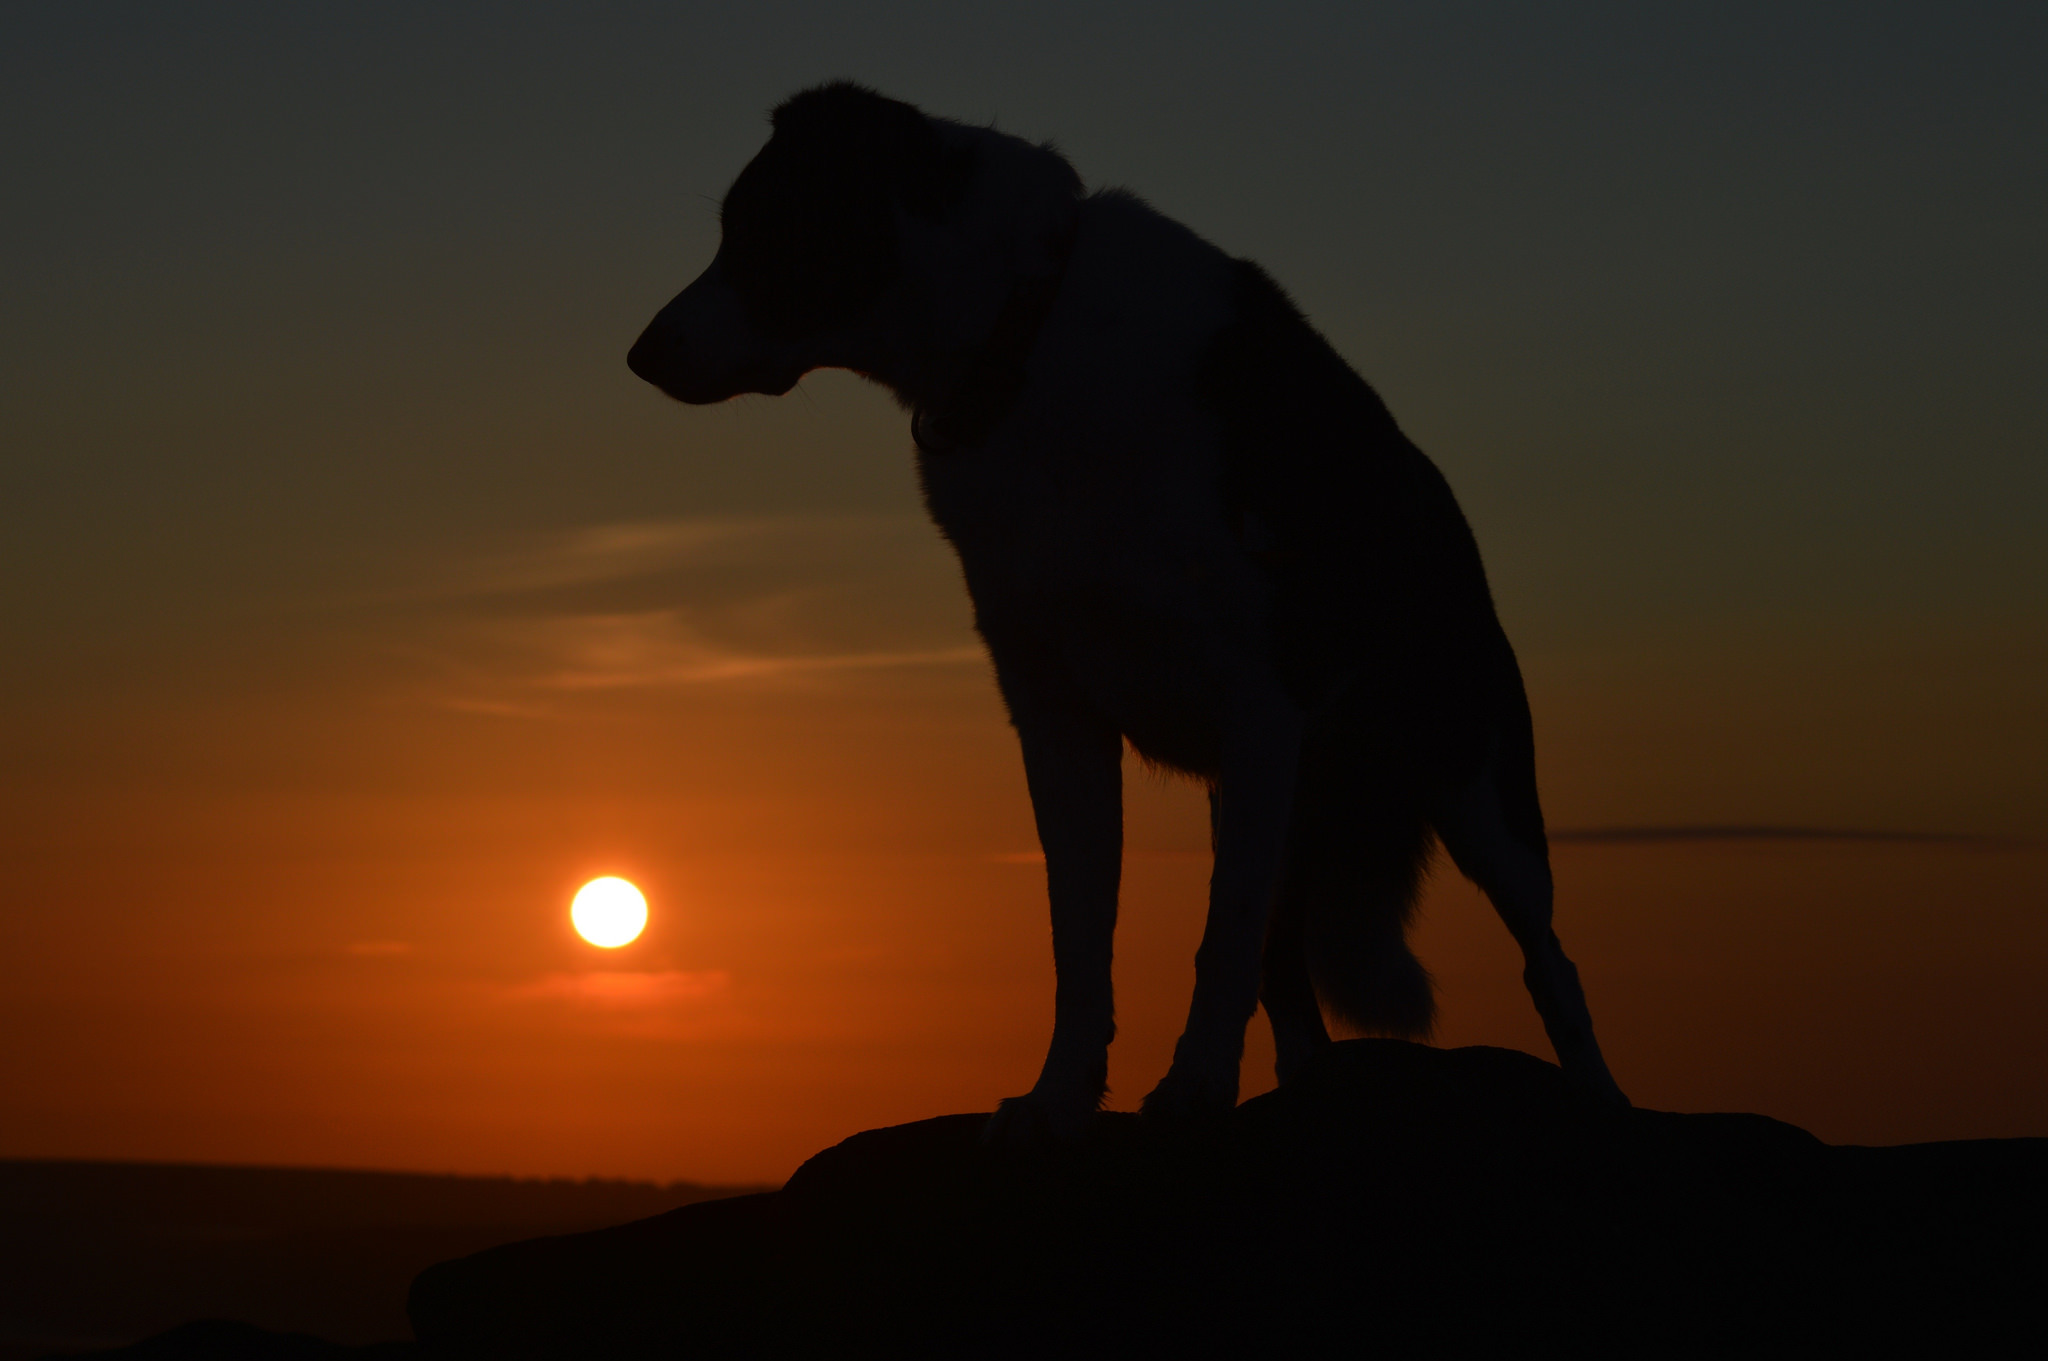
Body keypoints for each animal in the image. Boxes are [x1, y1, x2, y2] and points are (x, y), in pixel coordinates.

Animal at [630, 82, 1622, 1137]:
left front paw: (1191, 1087)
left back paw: (1603, 1098)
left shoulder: (1257, 699)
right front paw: (1061, 1093)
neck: (1023, 337)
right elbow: (1082, 936)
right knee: (1289, 961)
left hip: (1475, 785)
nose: (639, 353)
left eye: (758, 226)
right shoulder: (1058, 714)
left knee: (1547, 961)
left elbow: (1221, 937)